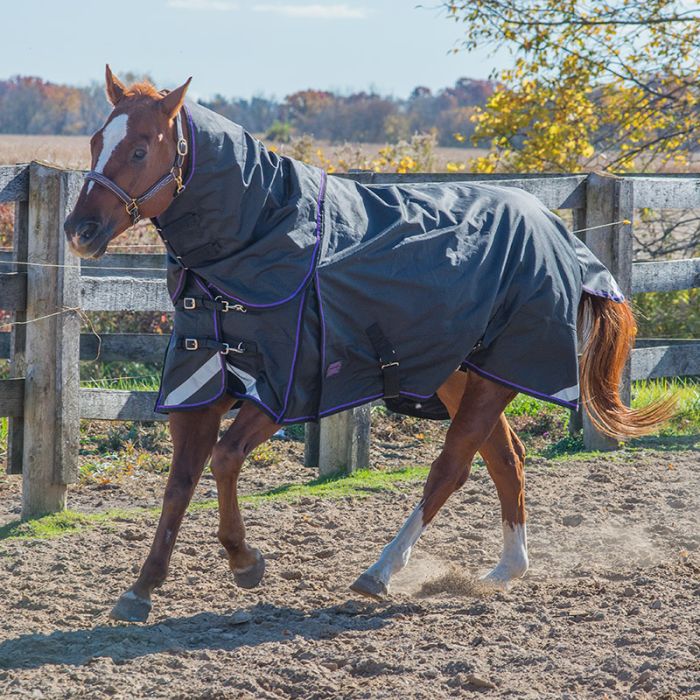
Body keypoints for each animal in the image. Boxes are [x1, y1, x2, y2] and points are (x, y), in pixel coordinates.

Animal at [64, 68, 672, 620]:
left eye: (140, 148)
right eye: (94, 141)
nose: (79, 231)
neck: (261, 236)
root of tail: (558, 230)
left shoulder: (286, 387)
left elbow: (225, 460)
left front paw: (244, 561)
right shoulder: (199, 387)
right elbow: (179, 484)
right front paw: (142, 588)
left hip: (498, 375)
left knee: (452, 466)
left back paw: (381, 570)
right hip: (462, 376)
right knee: (506, 459)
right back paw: (505, 570)